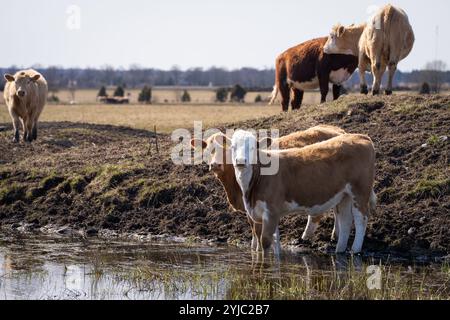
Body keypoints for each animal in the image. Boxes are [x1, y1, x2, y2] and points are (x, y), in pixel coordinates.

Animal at [189, 125, 344, 252]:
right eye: (208, 150)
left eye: (226, 150)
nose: (215, 165)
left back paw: (308, 237)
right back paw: (335, 235)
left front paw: (256, 249)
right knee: (337, 208)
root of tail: (337, 130)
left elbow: (256, 230)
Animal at [230, 129, 374, 252]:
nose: (241, 161)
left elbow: (265, 242)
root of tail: (360, 136)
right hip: (344, 195)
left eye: (253, 147)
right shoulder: (259, 214)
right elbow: (269, 244)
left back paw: (355, 250)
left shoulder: (271, 211)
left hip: (360, 190)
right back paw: (339, 250)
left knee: (361, 218)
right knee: (345, 220)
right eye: (232, 147)